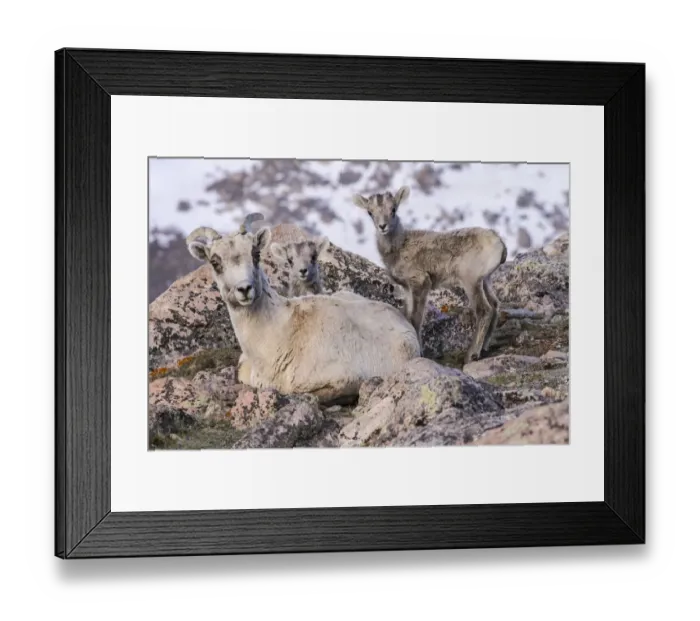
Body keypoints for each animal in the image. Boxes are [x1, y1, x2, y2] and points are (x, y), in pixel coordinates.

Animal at [352, 186, 507, 367]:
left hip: (470, 280)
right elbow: (408, 316)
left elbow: (416, 319)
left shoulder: (421, 282)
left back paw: (471, 355)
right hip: (485, 280)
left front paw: (421, 354)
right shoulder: (407, 288)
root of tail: (500, 243)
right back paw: (484, 348)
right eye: (370, 212)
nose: (382, 226)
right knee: (495, 305)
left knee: (484, 310)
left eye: (393, 209)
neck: (399, 248)